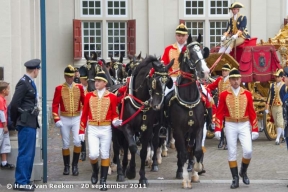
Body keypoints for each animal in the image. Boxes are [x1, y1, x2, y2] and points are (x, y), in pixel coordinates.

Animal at [119, 56, 173, 186]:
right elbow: (133, 147)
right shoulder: (127, 127)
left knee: (154, 142)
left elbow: (143, 151)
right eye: (154, 81)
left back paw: (154, 162)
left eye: (167, 82)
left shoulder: (148, 128)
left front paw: (142, 177)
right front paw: (131, 171)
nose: (157, 105)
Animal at [166, 33, 209, 188]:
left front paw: (197, 170)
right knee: (182, 150)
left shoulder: (198, 127)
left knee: (190, 149)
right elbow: (183, 152)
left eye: (202, 52)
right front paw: (185, 179)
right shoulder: (178, 129)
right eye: (191, 53)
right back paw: (180, 170)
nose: (205, 72)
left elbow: (197, 150)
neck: (189, 99)